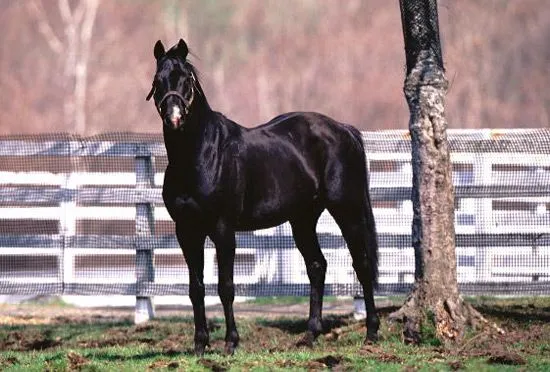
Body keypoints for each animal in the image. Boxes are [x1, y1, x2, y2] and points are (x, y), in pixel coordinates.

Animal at [148, 39, 380, 356]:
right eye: (158, 82)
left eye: (187, 80)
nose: (174, 118)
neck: (201, 155)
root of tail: (344, 129)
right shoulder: (186, 231)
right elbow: (196, 289)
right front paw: (199, 345)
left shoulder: (223, 229)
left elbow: (226, 287)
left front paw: (230, 343)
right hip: (302, 219)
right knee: (317, 266)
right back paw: (310, 334)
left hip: (347, 209)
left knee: (362, 265)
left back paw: (371, 333)